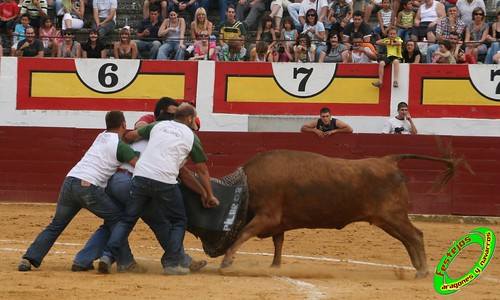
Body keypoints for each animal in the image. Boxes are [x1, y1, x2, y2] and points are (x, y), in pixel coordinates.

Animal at [221, 150, 462, 278]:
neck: (248, 183)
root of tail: (389, 159)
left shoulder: (267, 217)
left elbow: (243, 233)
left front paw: (227, 261)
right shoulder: (276, 223)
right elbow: (278, 242)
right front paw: (274, 267)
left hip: (393, 216)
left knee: (415, 235)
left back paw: (422, 270)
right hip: (388, 220)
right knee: (408, 238)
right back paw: (418, 267)